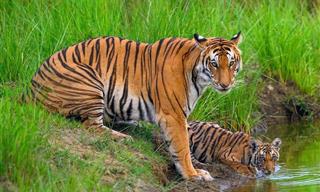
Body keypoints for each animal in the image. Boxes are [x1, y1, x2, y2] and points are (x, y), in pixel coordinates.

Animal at [30, 32, 242, 181]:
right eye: (214, 64)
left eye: (231, 63)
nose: (225, 85)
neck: (197, 76)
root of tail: (31, 86)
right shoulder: (174, 115)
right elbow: (182, 147)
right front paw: (193, 174)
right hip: (89, 81)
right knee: (91, 125)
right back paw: (123, 137)